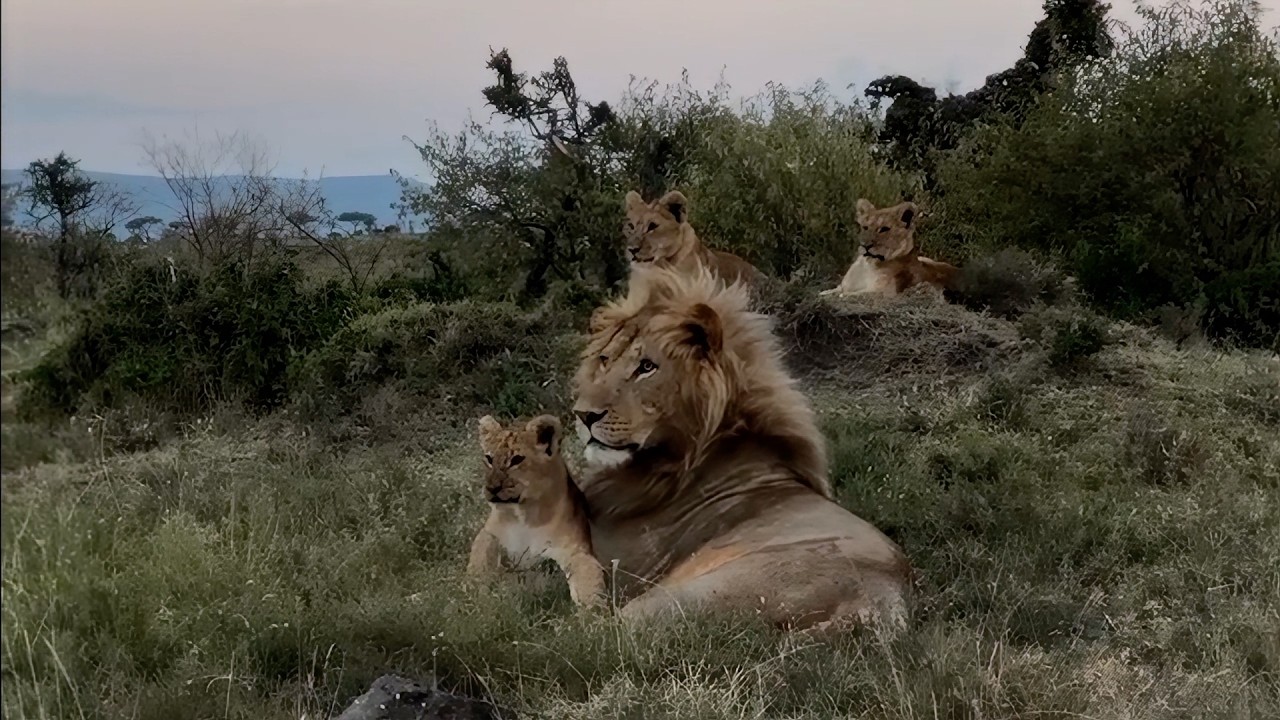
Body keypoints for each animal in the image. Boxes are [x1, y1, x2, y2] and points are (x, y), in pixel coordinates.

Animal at [466, 414, 605, 609]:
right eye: (489, 459)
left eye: (517, 459)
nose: (492, 488)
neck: (524, 515)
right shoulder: (489, 532)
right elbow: (480, 554)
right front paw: (472, 593)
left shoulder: (575, 550)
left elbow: (588, 577)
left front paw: (594, 611)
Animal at [572, 265, 912, 629]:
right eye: (604, 360)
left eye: (646, 367)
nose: (583, 414)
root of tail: (884, 599)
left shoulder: (611, 560)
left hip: (677, 596)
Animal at [821, 199, 958, 298]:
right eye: (865, 227)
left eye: (884, 229)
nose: (865, 245)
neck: (867, 264)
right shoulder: (843, 286)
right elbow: (830, 292)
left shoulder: (883, 292)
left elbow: (844, 295)